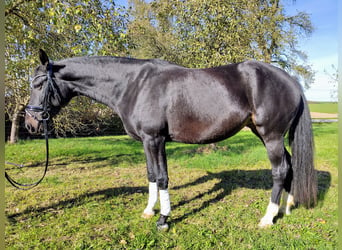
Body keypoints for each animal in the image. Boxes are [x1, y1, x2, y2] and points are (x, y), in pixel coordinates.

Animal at [25, 49, 316, 229]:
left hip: (271, 136)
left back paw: (268, 217)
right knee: (290, 165)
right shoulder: (147, 141)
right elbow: (152, 176)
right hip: (264, 134)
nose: (30, 123)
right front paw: (149, 210)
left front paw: (163, 219)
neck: (134, 84)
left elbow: (163, 177)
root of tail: (290, 80)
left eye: (38, 84)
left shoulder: (155, 139)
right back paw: (287, 207)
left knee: (279, 170)